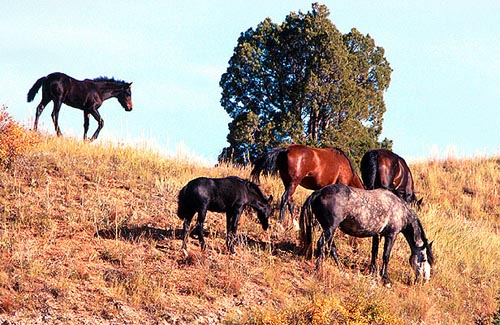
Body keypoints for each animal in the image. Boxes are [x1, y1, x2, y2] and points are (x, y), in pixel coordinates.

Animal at [300, 184, 434, 284]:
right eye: (424, 258)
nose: (425, 279)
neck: (401, 210)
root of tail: (318, 193)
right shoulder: (391, 235)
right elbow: (386, 256)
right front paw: (385, 278)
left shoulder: (377, 235)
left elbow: (374, 253)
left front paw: (373, 271)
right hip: (330, 228)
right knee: (321, 243)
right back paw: (318, 269)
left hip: (329, 229)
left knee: (332, 248)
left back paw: (341, 269)